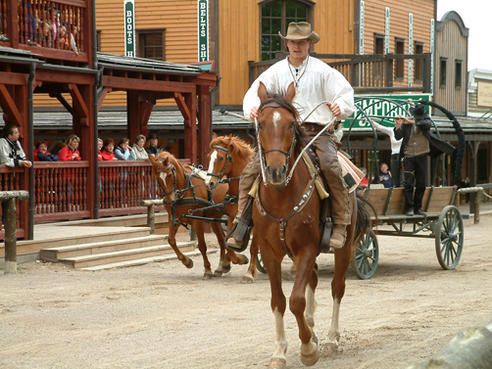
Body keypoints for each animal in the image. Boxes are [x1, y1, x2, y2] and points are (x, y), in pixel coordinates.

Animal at [204, 135, 260, 282]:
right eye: (209, 156)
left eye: (221, 158)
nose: (209, 183)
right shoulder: (231, 218)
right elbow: (226, 242)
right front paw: (237, 260)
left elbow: (254, 247)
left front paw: (249, 272)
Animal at [254, 84, 368, 368]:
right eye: (260, 124)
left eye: (290, 124)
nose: (275, 171)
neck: (281, 196)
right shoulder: (270, 253)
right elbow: (278, 301)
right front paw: (280, 351)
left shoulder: (305, 248)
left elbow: (296, 300)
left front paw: (307, 349)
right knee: (313, 280)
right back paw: (313, 329)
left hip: (343, 247)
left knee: (337, 287)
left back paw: (329, 339)